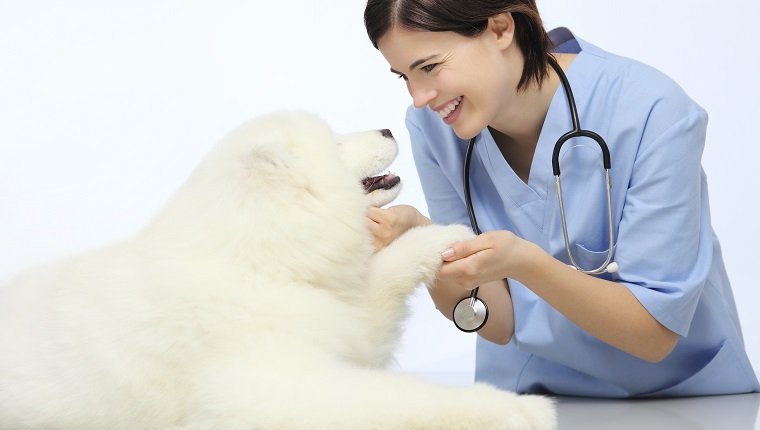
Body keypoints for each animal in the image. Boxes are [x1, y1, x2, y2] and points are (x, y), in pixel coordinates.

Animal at [0, 111, 552, 430]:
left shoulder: (344, 321)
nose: (389, 127)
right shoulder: (267, 389)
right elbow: (409, 401)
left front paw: (440, 236)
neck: (256, 259)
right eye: (334, 143)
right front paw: (516, 410)